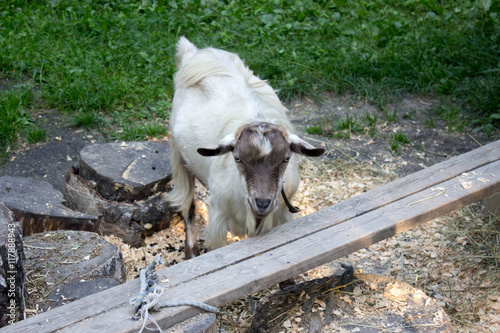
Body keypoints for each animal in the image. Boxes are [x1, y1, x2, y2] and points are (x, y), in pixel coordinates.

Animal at [168, 37, 324, 258]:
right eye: (238, 158)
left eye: (286, 158)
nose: (262, 203)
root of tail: (193, 53)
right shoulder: (218, 221)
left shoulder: (282, 217)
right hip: (178, 155)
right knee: (187, 205)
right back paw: (192, 252)